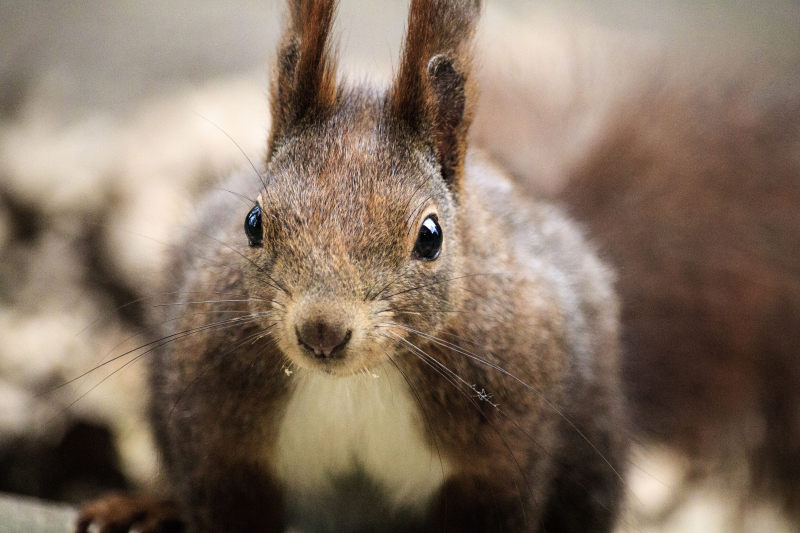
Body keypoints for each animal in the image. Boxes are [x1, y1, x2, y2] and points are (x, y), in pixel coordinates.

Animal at [75, 1, 628, 532]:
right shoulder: (219, 442)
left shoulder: (497, 459)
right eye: (253, 222)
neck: (358, 380)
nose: (322, 330)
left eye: (431, 237)